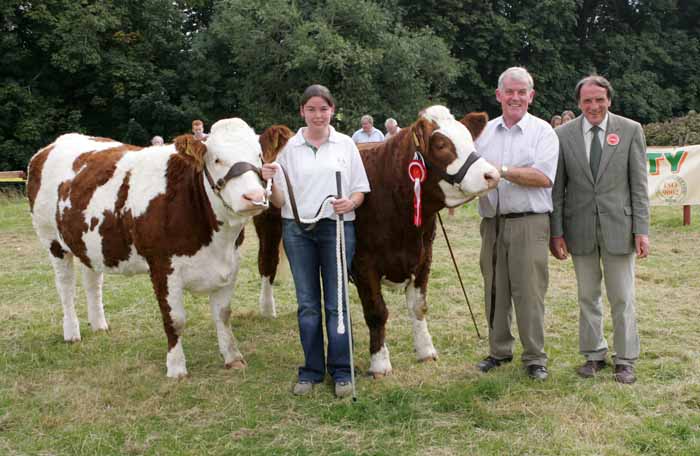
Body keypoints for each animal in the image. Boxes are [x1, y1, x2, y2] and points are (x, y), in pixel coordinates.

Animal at [28, 117, 268, 378]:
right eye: (217, 159)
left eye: (259, 156)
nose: (254, 197)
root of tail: (52, 145)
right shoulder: (163, 266)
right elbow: (175, 320)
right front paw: (176, 368)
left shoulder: (230, 264)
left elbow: (223, 315)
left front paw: (233, 358)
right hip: (52, 241)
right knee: (66, 288)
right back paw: (72, 333)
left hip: (88, 242)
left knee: (92, 282)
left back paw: (99, 325)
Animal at [252, 108, 498, 378]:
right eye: (441, 144)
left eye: (470, 139)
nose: (492, 175)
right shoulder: (363, 262)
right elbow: (376, 312)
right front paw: (379, 363)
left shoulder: (424, 257)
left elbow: (418, 306)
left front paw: (426, 350)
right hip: (268, 226)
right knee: (267, 264)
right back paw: (267, 309)